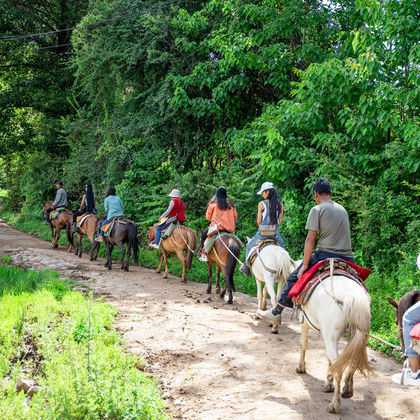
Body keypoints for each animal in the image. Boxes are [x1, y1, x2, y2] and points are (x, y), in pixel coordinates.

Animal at [296, 272, 372, 414]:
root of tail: (351, 295)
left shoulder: (304, 319)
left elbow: (303, 343)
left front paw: (300, 368)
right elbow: (328, 358)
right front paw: (328, 382)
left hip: (331, 336)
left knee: (339, 368)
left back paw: (334, 405)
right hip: (357, 335)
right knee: (352, 359)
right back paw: (347, 390)